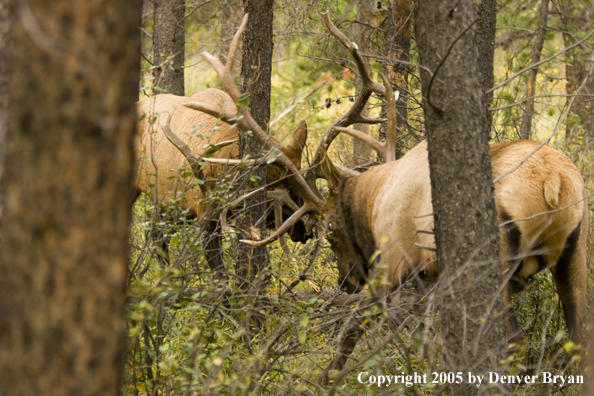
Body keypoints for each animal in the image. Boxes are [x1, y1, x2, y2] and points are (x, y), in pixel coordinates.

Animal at [186, 11, 588, 384]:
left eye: (332, 233)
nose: (346, 281)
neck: (374, 200)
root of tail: (554, 183)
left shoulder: (393, 264)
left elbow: (355, 329)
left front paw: (326, 379)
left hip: (495, 261)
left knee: (513, 342)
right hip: (575, 252)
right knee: (579, 341)